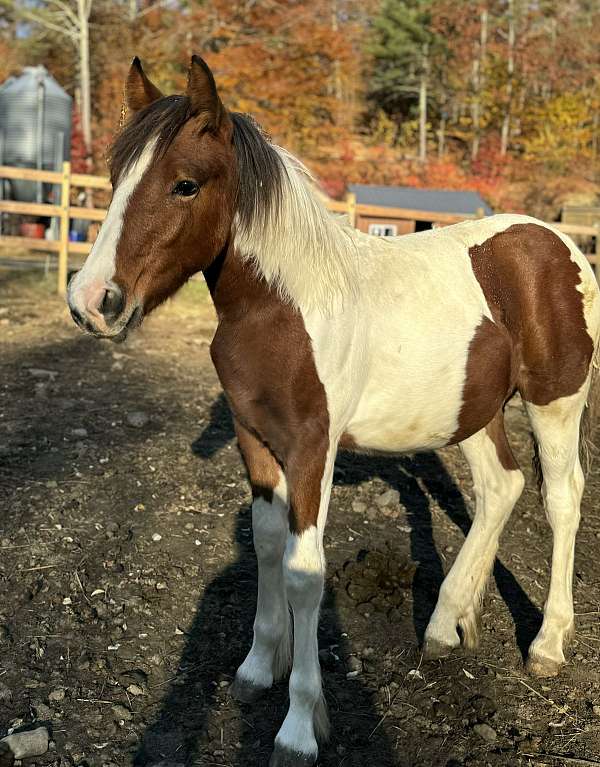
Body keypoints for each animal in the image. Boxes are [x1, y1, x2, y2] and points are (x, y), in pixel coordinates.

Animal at [67, 57, 600, 764]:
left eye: (185, 184)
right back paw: (445, 623)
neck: (281, 310)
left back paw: (546, 644)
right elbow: (267, 546)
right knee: (500, 488)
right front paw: (257, 668)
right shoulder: (256, 440)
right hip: (474, 411)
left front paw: (298, 727)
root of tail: (557, 241)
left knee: (561, 498)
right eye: (113, 179)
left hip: (555, 403)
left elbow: (303, 575)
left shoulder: (312, 447)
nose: (91, 301)